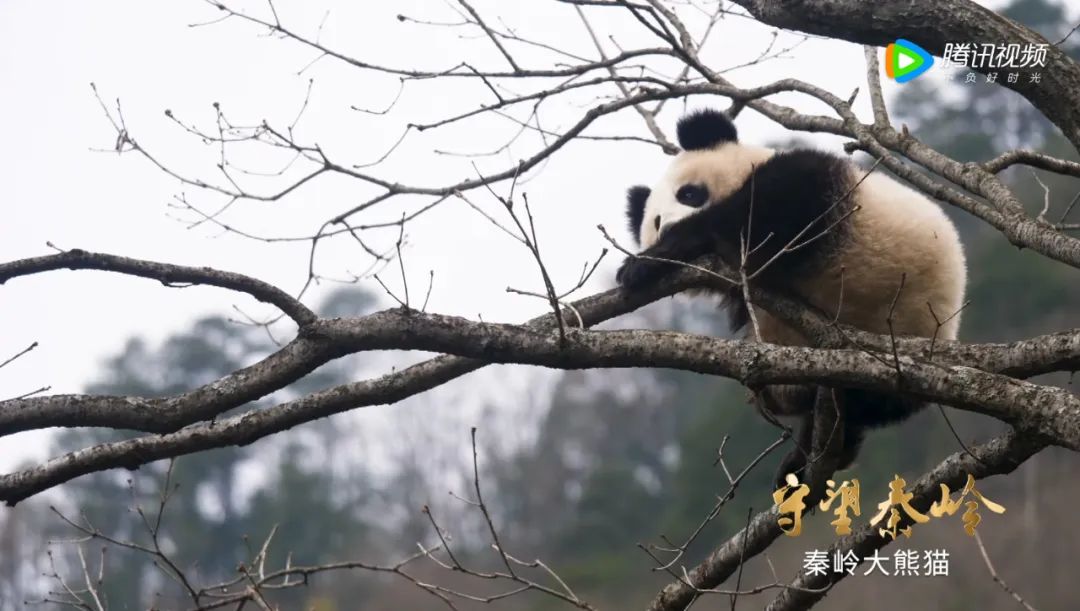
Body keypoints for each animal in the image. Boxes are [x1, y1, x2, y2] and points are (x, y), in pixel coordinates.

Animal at [617, 109, 972, 483]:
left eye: (688, 194)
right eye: (656, 222)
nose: (668, 228)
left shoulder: (815, 185)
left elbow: (762, 219)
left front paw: (649, 260)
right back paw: (802, 459)